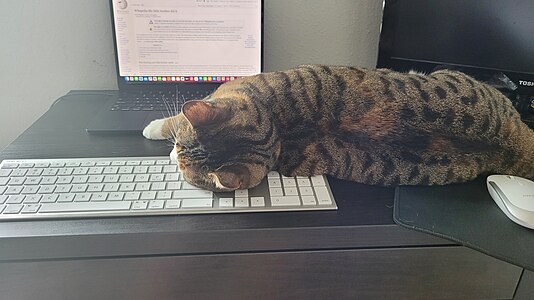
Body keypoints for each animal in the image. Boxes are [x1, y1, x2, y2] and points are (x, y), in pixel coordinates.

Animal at [142, 66, 534, 192]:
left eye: (183, 166)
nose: (174, 156)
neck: (278, 129)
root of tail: (515, 140)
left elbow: (172, 121)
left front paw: (153, 127)